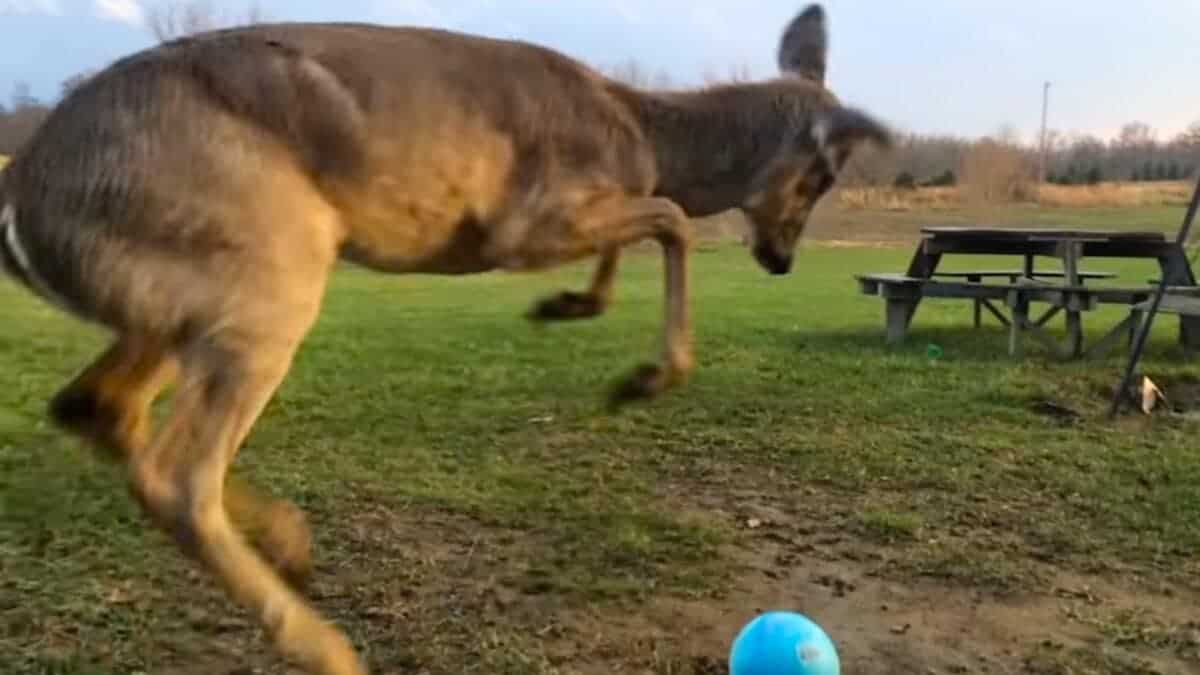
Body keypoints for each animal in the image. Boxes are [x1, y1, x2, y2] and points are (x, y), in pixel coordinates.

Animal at [0, 2, 892, 667]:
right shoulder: (521, 221)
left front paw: (568, 306)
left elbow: (643, 230)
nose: (780, 259)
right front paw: (645, 375)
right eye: (818, 174)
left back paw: (291, 541)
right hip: (271, 266)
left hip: (186, 299)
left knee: (94, 404)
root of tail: (19, 201)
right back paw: (327, 647)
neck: (642, 132)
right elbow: (669, 216)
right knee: (175, 474)